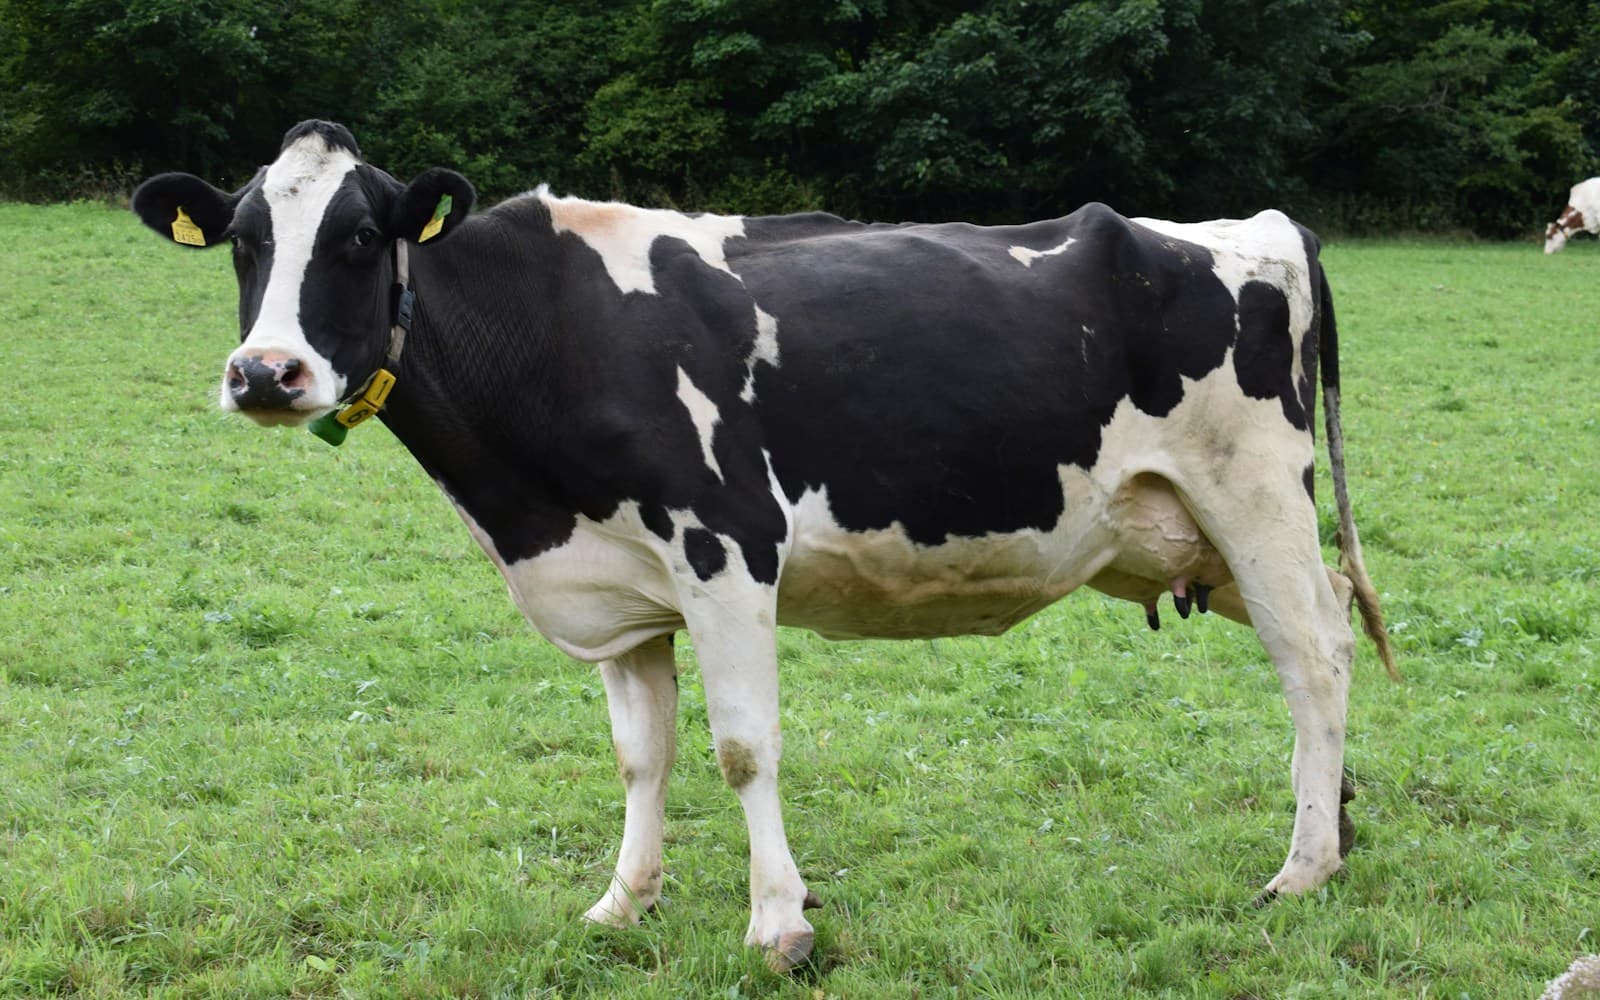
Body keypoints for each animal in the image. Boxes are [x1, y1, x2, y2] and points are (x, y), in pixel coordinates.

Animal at [132, 120, 1396, 972]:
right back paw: (1337, 826)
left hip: (1254, 499)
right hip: (1194, 535)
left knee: (1313, 656)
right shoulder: (620, 592)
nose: (265, 374)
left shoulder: (726, 549)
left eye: (356, 237)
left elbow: (742, 747)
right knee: (1333, 625)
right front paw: (623, 901)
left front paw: (779, 923)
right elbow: (640, 756)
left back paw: (1300, 867)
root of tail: (1259, 226)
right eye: (243, 241)